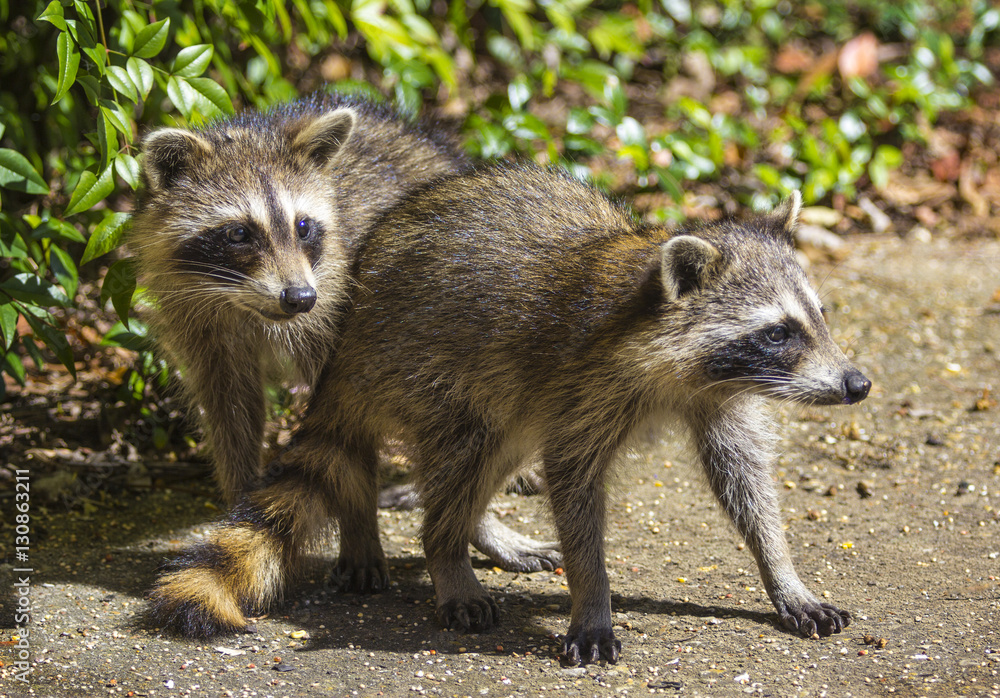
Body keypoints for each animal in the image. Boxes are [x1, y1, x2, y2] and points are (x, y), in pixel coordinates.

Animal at [148, 163, 870, 658]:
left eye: (820, 316)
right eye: (779, 332)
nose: (857, 383)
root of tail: (344, 346)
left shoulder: (717, 396)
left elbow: (743, 479)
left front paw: (781, 570)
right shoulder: (589, 382)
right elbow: (574, 488)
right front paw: (592, 597)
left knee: (504, 448)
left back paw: (476, 532)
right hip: (422, 370)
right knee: (468, 448)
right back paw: (446, 551)